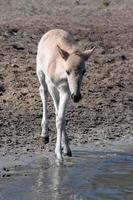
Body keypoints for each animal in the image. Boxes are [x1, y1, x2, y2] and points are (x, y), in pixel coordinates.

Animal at [36, 29, 94, 161]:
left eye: (84, 71)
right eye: (67, 71)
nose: (77, 96)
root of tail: (50, 31)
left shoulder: (66, 91)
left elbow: (61, 118)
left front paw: (66, 150)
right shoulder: (53, 87)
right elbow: (58, 115)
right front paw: (58, 154)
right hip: (40, 74)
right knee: (43, 91)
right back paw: (44, 135)